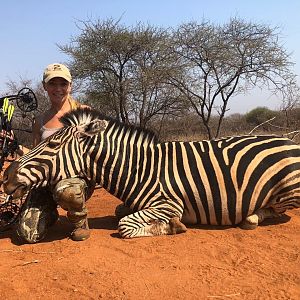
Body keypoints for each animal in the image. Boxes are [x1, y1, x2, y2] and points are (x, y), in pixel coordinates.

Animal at [2, 108, 300, 239]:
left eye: (52, 144)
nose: (7, 176)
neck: (141, 169)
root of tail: (289, 141)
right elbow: (121, 211)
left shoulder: (169, 204)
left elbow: (125, 225)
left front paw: (174, 226)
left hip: (288, 190)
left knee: (276, 210)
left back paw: (252, 217)